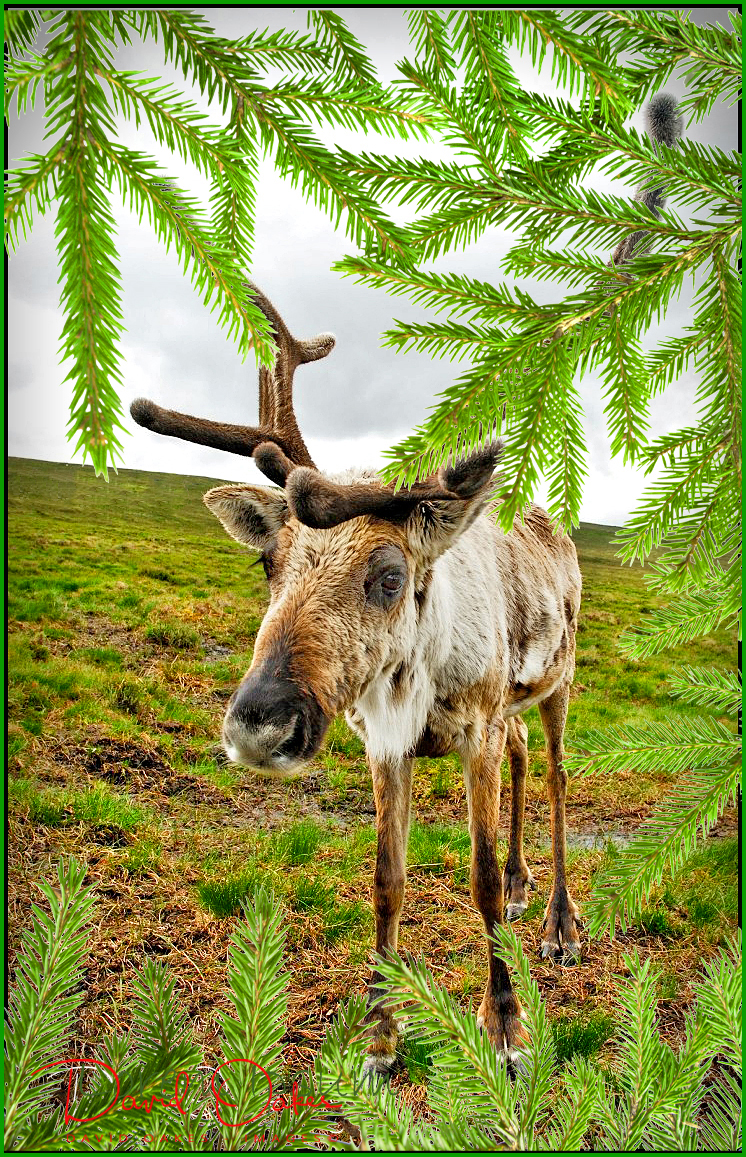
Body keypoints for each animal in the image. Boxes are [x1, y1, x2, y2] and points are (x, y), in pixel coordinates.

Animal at [130, 281, 582, 1074]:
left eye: (389, 575)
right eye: (267, 562)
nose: (258, 725)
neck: (421, 675)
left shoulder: (477, 731)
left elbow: (477, 878)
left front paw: (505, 1026)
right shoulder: (387, 744)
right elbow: (386, 881)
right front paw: (379, 1036)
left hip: (560, 676)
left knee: (557, 773)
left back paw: (559, 922)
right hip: (514, 707)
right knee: (526, 755)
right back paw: (527, 887)